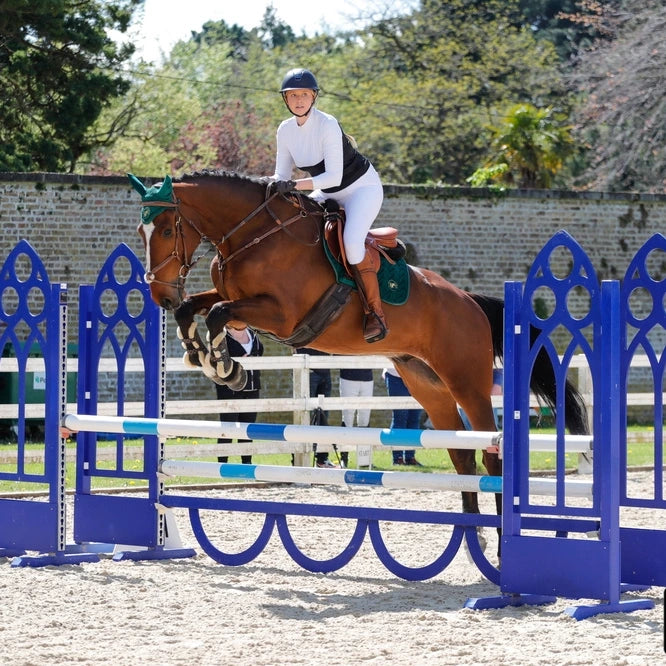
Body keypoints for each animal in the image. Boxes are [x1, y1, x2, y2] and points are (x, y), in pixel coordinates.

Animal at [130, 170, 588, 520]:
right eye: (141, 231)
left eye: (167, 229)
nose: (159, 296)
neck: (253, 235)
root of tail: (470, 301)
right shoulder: (239, 303)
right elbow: (197, 309)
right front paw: (200, 352)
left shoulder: (280, 314)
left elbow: (217, 313)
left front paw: (227, 367)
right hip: (427, 385)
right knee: (461, 457)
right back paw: (472, 535)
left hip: (467, 384)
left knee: (490, 454)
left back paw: (495, 541)